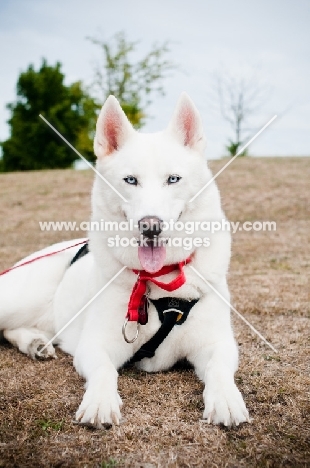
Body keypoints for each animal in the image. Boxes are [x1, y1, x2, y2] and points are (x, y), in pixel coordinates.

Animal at [0, 94, 249, 428]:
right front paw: (100, 401)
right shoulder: (95, 346)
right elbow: (105, 371)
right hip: (17, 300)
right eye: (130, 180)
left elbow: (220, 369)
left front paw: (226, 399)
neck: (158, 280)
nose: (151, 226)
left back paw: (33, 342)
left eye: (173, 179)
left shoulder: (217, 344)